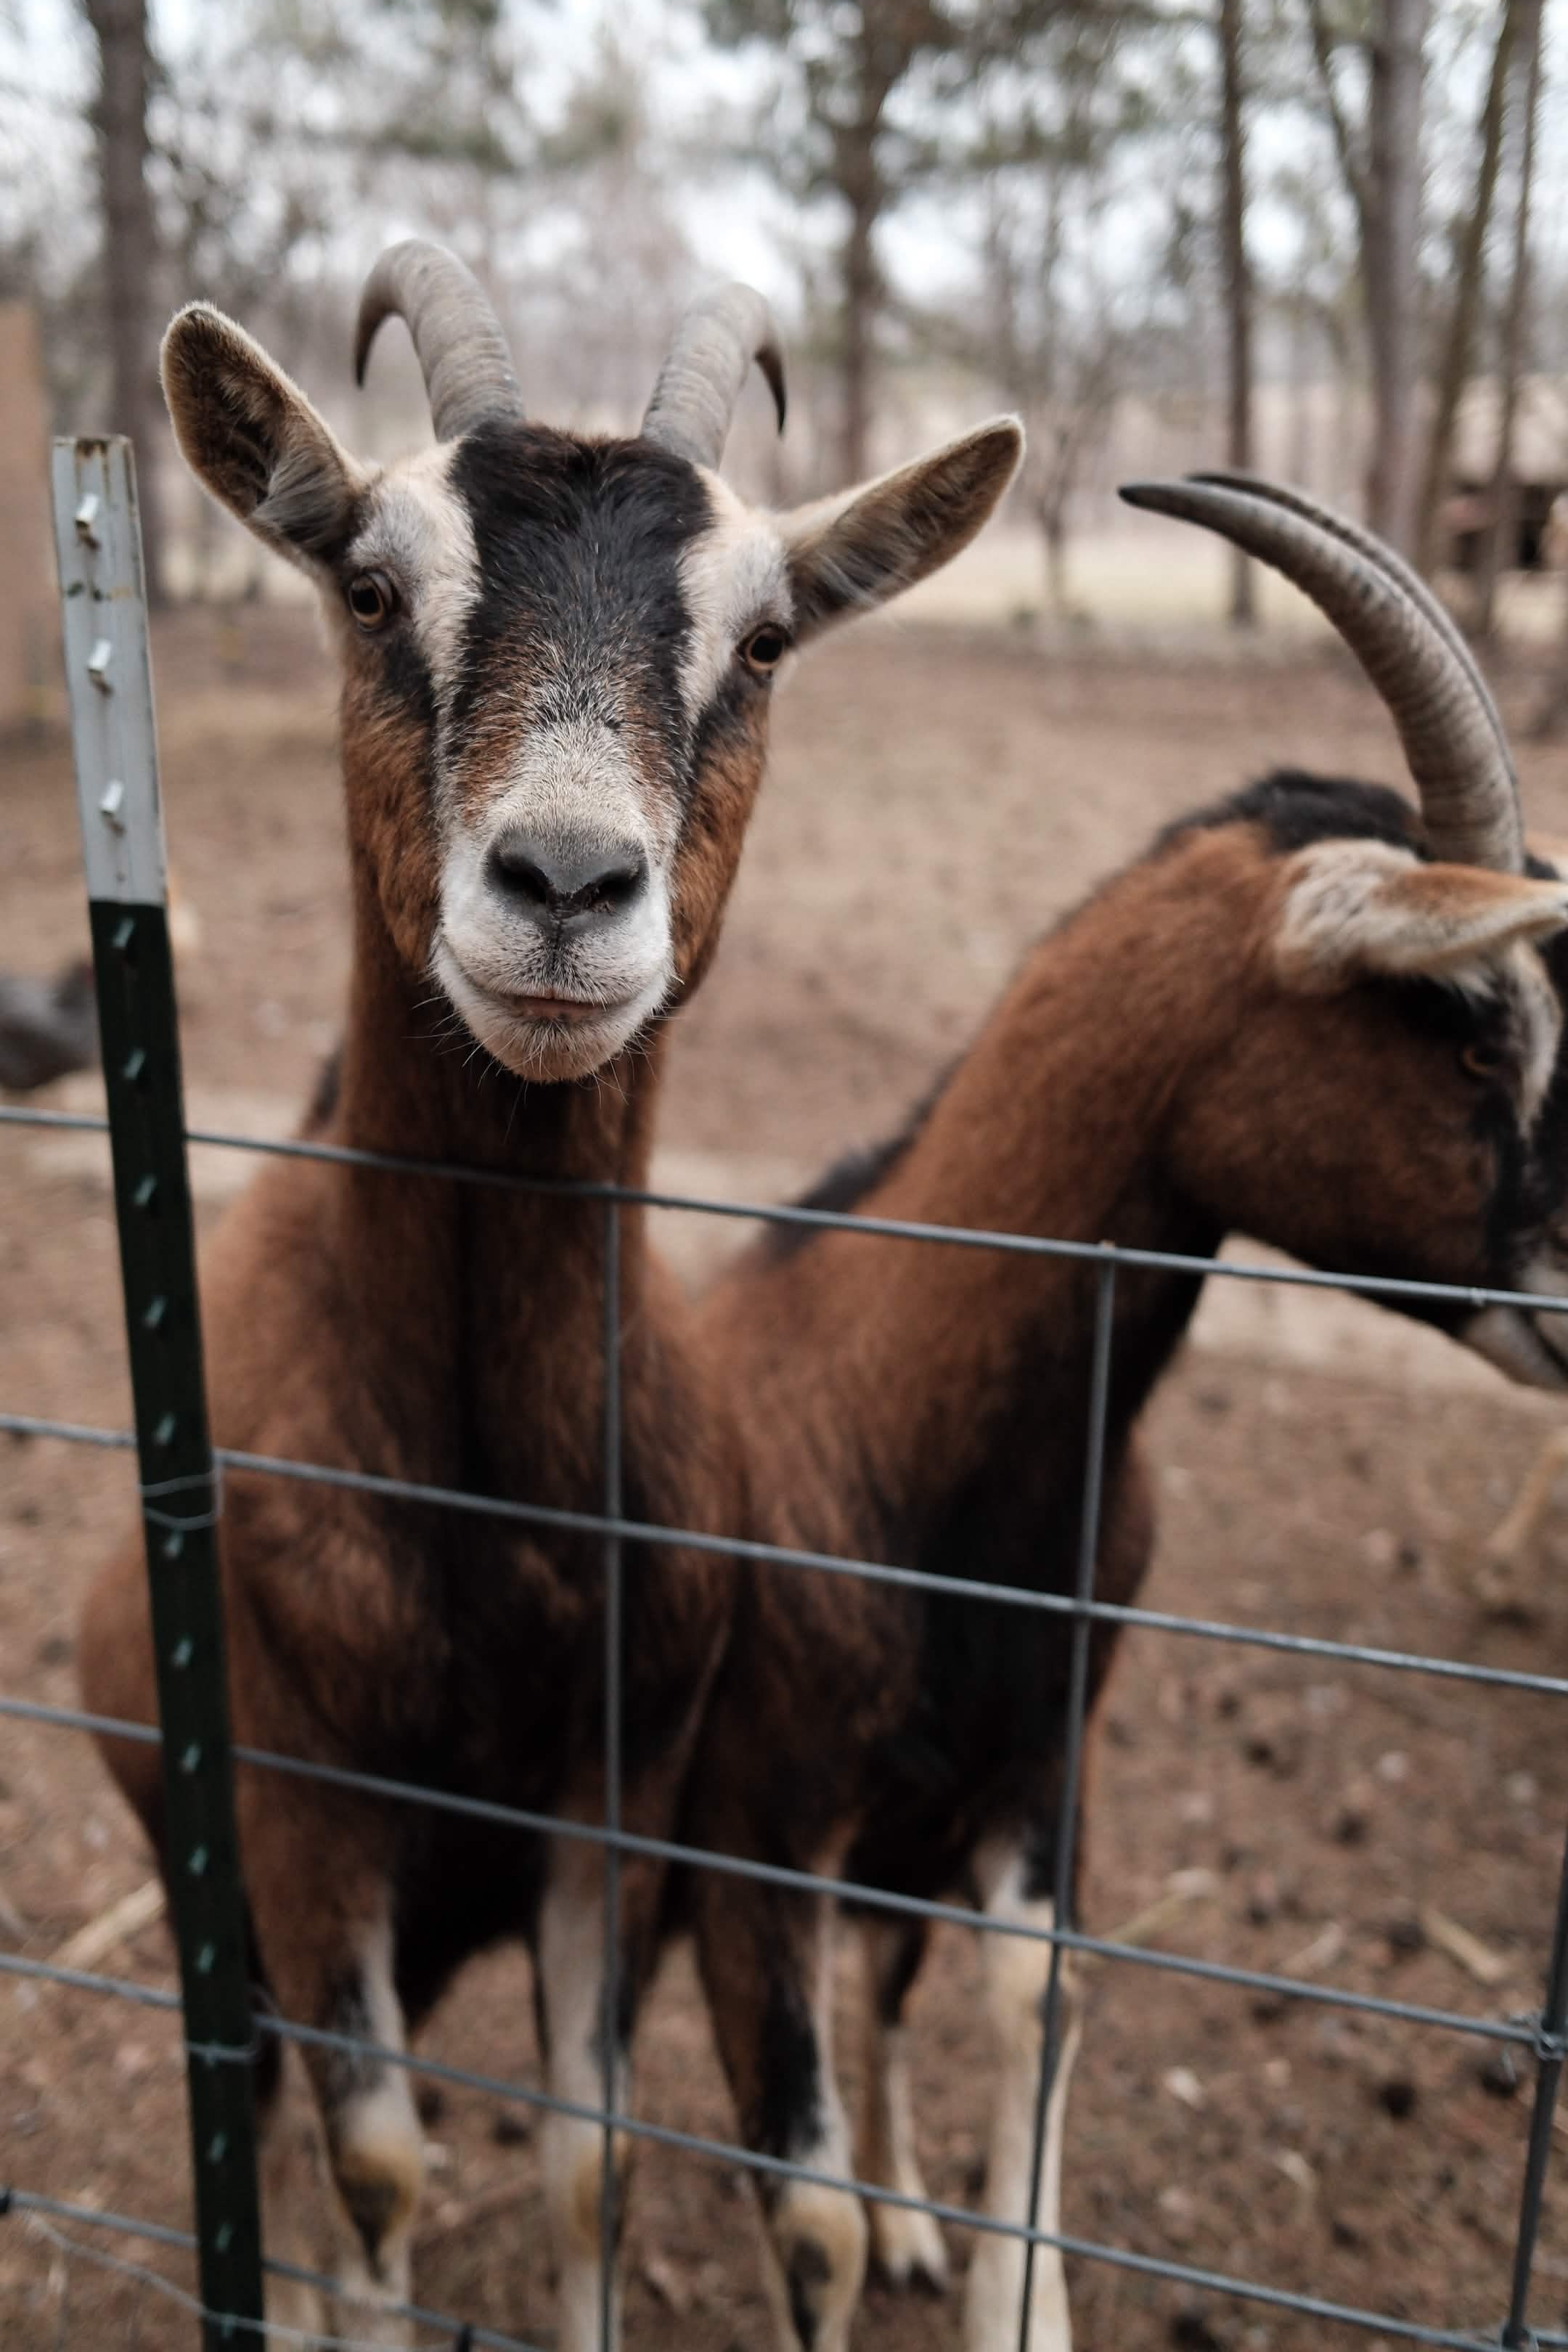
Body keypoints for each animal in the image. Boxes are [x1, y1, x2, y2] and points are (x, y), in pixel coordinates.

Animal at [76, 238, 1023, 2348]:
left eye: (765, 642)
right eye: (368, 585)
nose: (568, 888)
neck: (479, 1501)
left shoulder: (616, 1796)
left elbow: (591, 2159)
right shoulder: (301, 1805)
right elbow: (375, 2161)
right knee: (267, 2099)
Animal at [677, 475, 1568, 2352]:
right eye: (1471, 1040)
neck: (902, 1421)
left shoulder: (1034, 1773)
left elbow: (1038, 2006)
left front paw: (988, 2274)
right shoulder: (753, 1826)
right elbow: (805, 2224)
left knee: (892, 1985)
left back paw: (917, 2208)